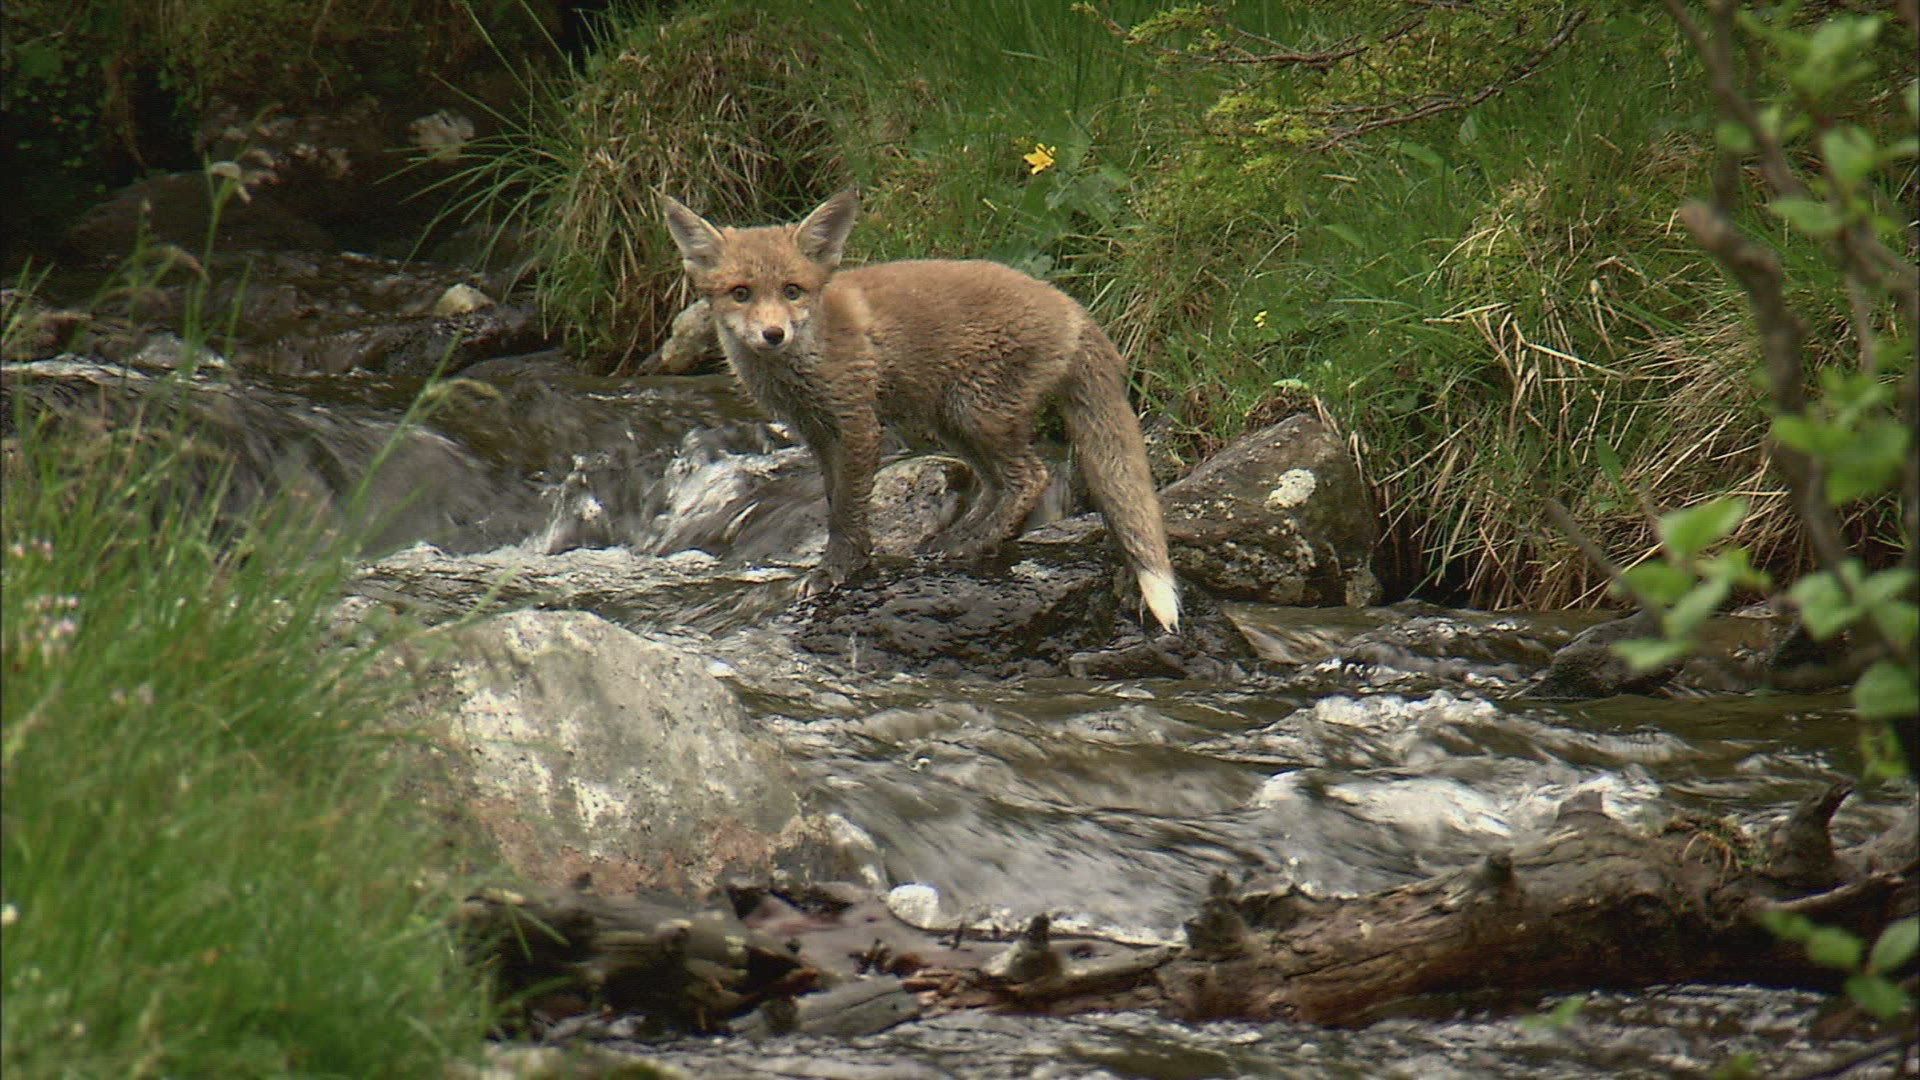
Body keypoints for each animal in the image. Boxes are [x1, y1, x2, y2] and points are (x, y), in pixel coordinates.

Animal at [660, 187, 1180, 634]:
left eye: (792, 290)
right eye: (740, 292)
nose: (773, 334)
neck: (808, 357)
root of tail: (1071, 305)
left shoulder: (857, 423)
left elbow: (845, 512)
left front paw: (837, 569)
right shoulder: (818, 433)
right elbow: (833, 500)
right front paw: (854, 560)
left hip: (976, 413)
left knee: (1031, 477)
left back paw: (972, 541)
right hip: (952, 422)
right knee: (999, 484)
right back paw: (965, 537)